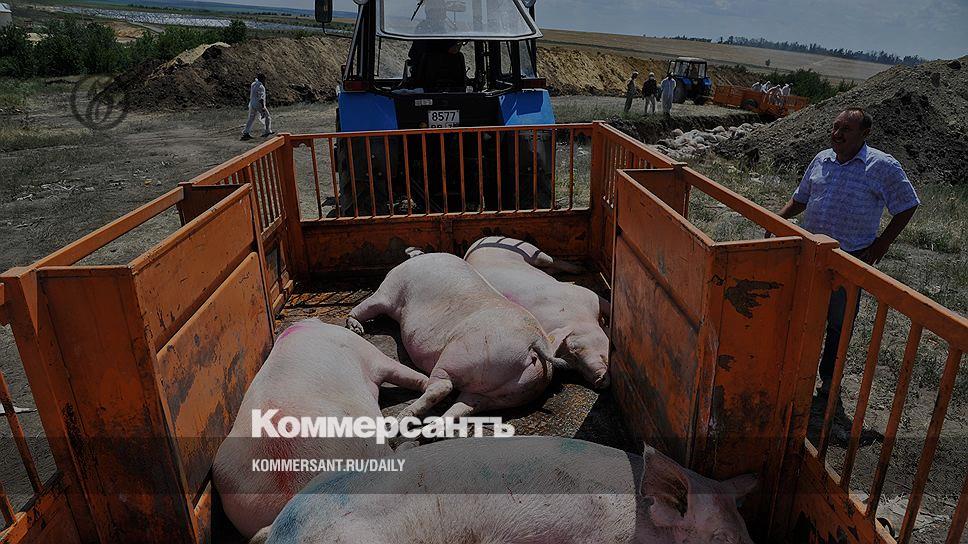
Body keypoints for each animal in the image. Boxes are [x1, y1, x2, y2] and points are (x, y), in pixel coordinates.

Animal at [345, 251, 567, 419]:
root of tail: (536, 342)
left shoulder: (390, 291)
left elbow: (369, 305)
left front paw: (354, 327)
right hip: (507, 393)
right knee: (464, 408)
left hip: (465, 353)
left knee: (442, 385)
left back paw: (403, 416)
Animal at [465, 236, 611, 388]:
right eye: (572, 364)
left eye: (574, 346)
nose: (598, 380)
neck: (579, 317)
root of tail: (481, 240)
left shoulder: (588, 295)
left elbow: (607, 304)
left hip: (532, 251)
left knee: (551, 260)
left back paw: (580, 269)